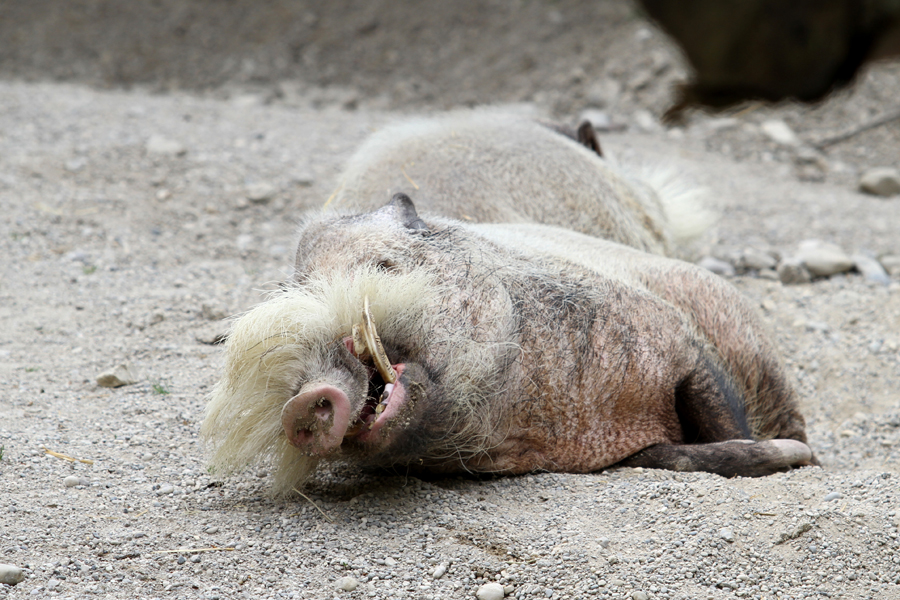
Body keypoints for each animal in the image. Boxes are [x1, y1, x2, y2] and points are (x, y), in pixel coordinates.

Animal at [204, 113, 816, 496]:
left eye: (385, 267)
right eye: (300, 286)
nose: (304, 400)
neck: (549, 419)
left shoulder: (679, 343)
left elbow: (722, 424)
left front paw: (799, 460)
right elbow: (675, 455)